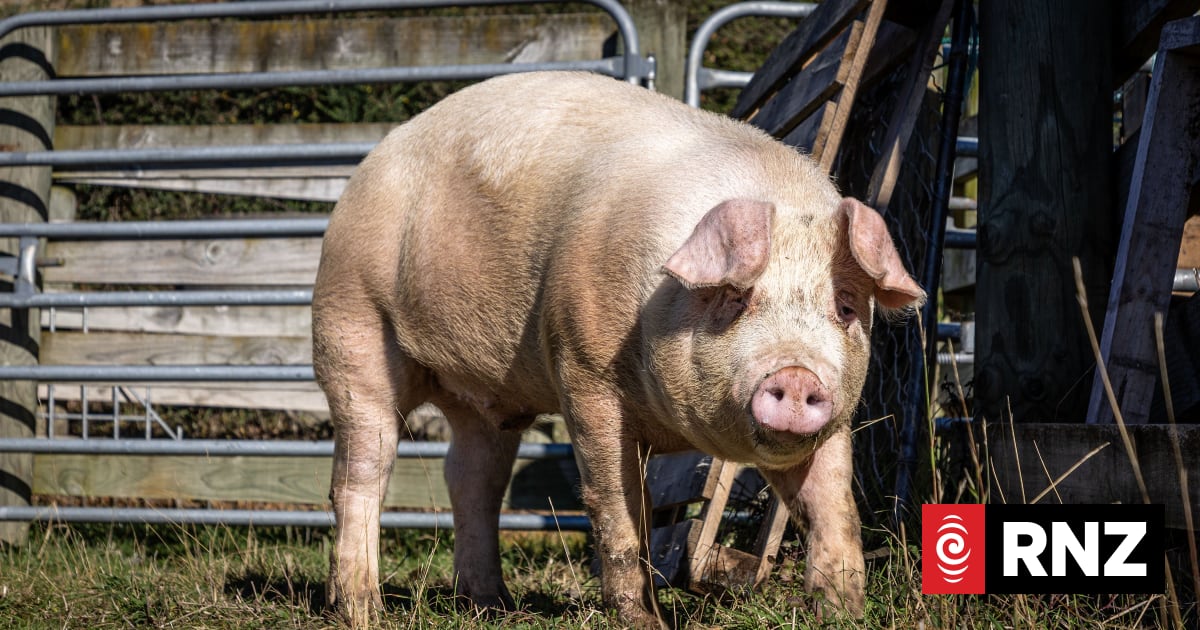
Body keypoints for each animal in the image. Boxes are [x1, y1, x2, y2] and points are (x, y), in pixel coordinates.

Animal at [312, 70, 924, 628]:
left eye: (845, 306)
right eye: (735, 296)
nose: (796, 374)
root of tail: (369, 164)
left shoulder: (839, 415)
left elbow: (832, 507)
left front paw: (845, 615)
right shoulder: (584, 370)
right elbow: (618, 505)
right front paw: (645, 621)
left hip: (482, 402)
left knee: (471, 481)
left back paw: (493, 606)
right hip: (349, 325)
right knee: (360, 476)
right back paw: (362, 610)